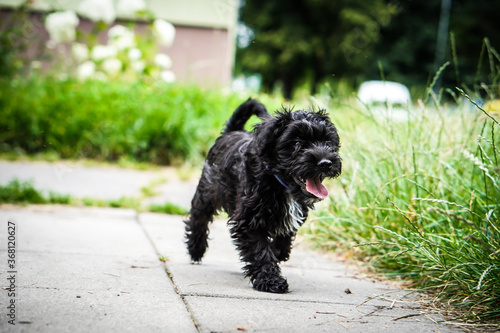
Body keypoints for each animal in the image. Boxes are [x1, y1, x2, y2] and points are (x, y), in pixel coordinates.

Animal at [186, 98, 342, 290]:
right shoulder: (248, 220)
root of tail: (232, 132)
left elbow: (283, 239)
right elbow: (260, 250)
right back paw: (195, 249)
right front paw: (271, 280)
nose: (326, 163)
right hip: (207, 191)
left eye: (328, 142)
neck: (278, 181)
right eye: (297, 143)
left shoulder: (292, 216)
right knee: (198, 217)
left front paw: (276, 252)